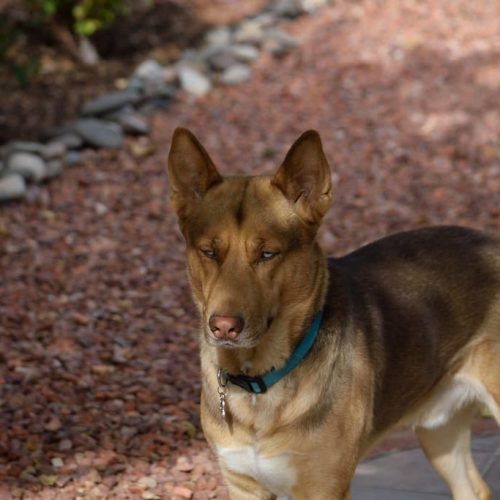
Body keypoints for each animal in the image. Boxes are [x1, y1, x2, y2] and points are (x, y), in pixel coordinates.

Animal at [168, 127, 500, 498]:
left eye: (268, 254)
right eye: (209, 252)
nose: (223, 327)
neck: (259, 383)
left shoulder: (324, 487)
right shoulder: (242, 485)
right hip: (438, 430)